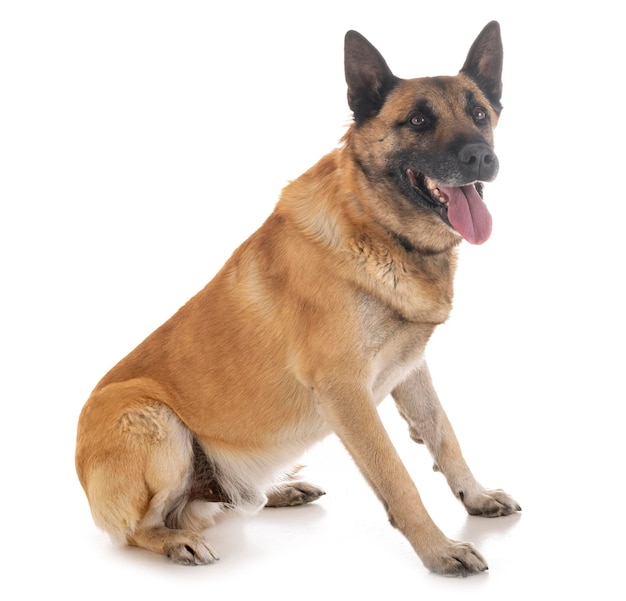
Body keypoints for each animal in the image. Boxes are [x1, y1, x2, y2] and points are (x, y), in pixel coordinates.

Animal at [75, 21, 520, 576]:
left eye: (479, 113)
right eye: (418, 120)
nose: (481, 156)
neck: (378, 226)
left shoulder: (410, 368)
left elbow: (444, 434)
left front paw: (474, 497)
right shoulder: (345, 391)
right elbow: (397, 477)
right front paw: (439, 550)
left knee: (230, 501)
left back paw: (276, 490)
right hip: (153, 421)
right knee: (140, 530)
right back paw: (178, 542)